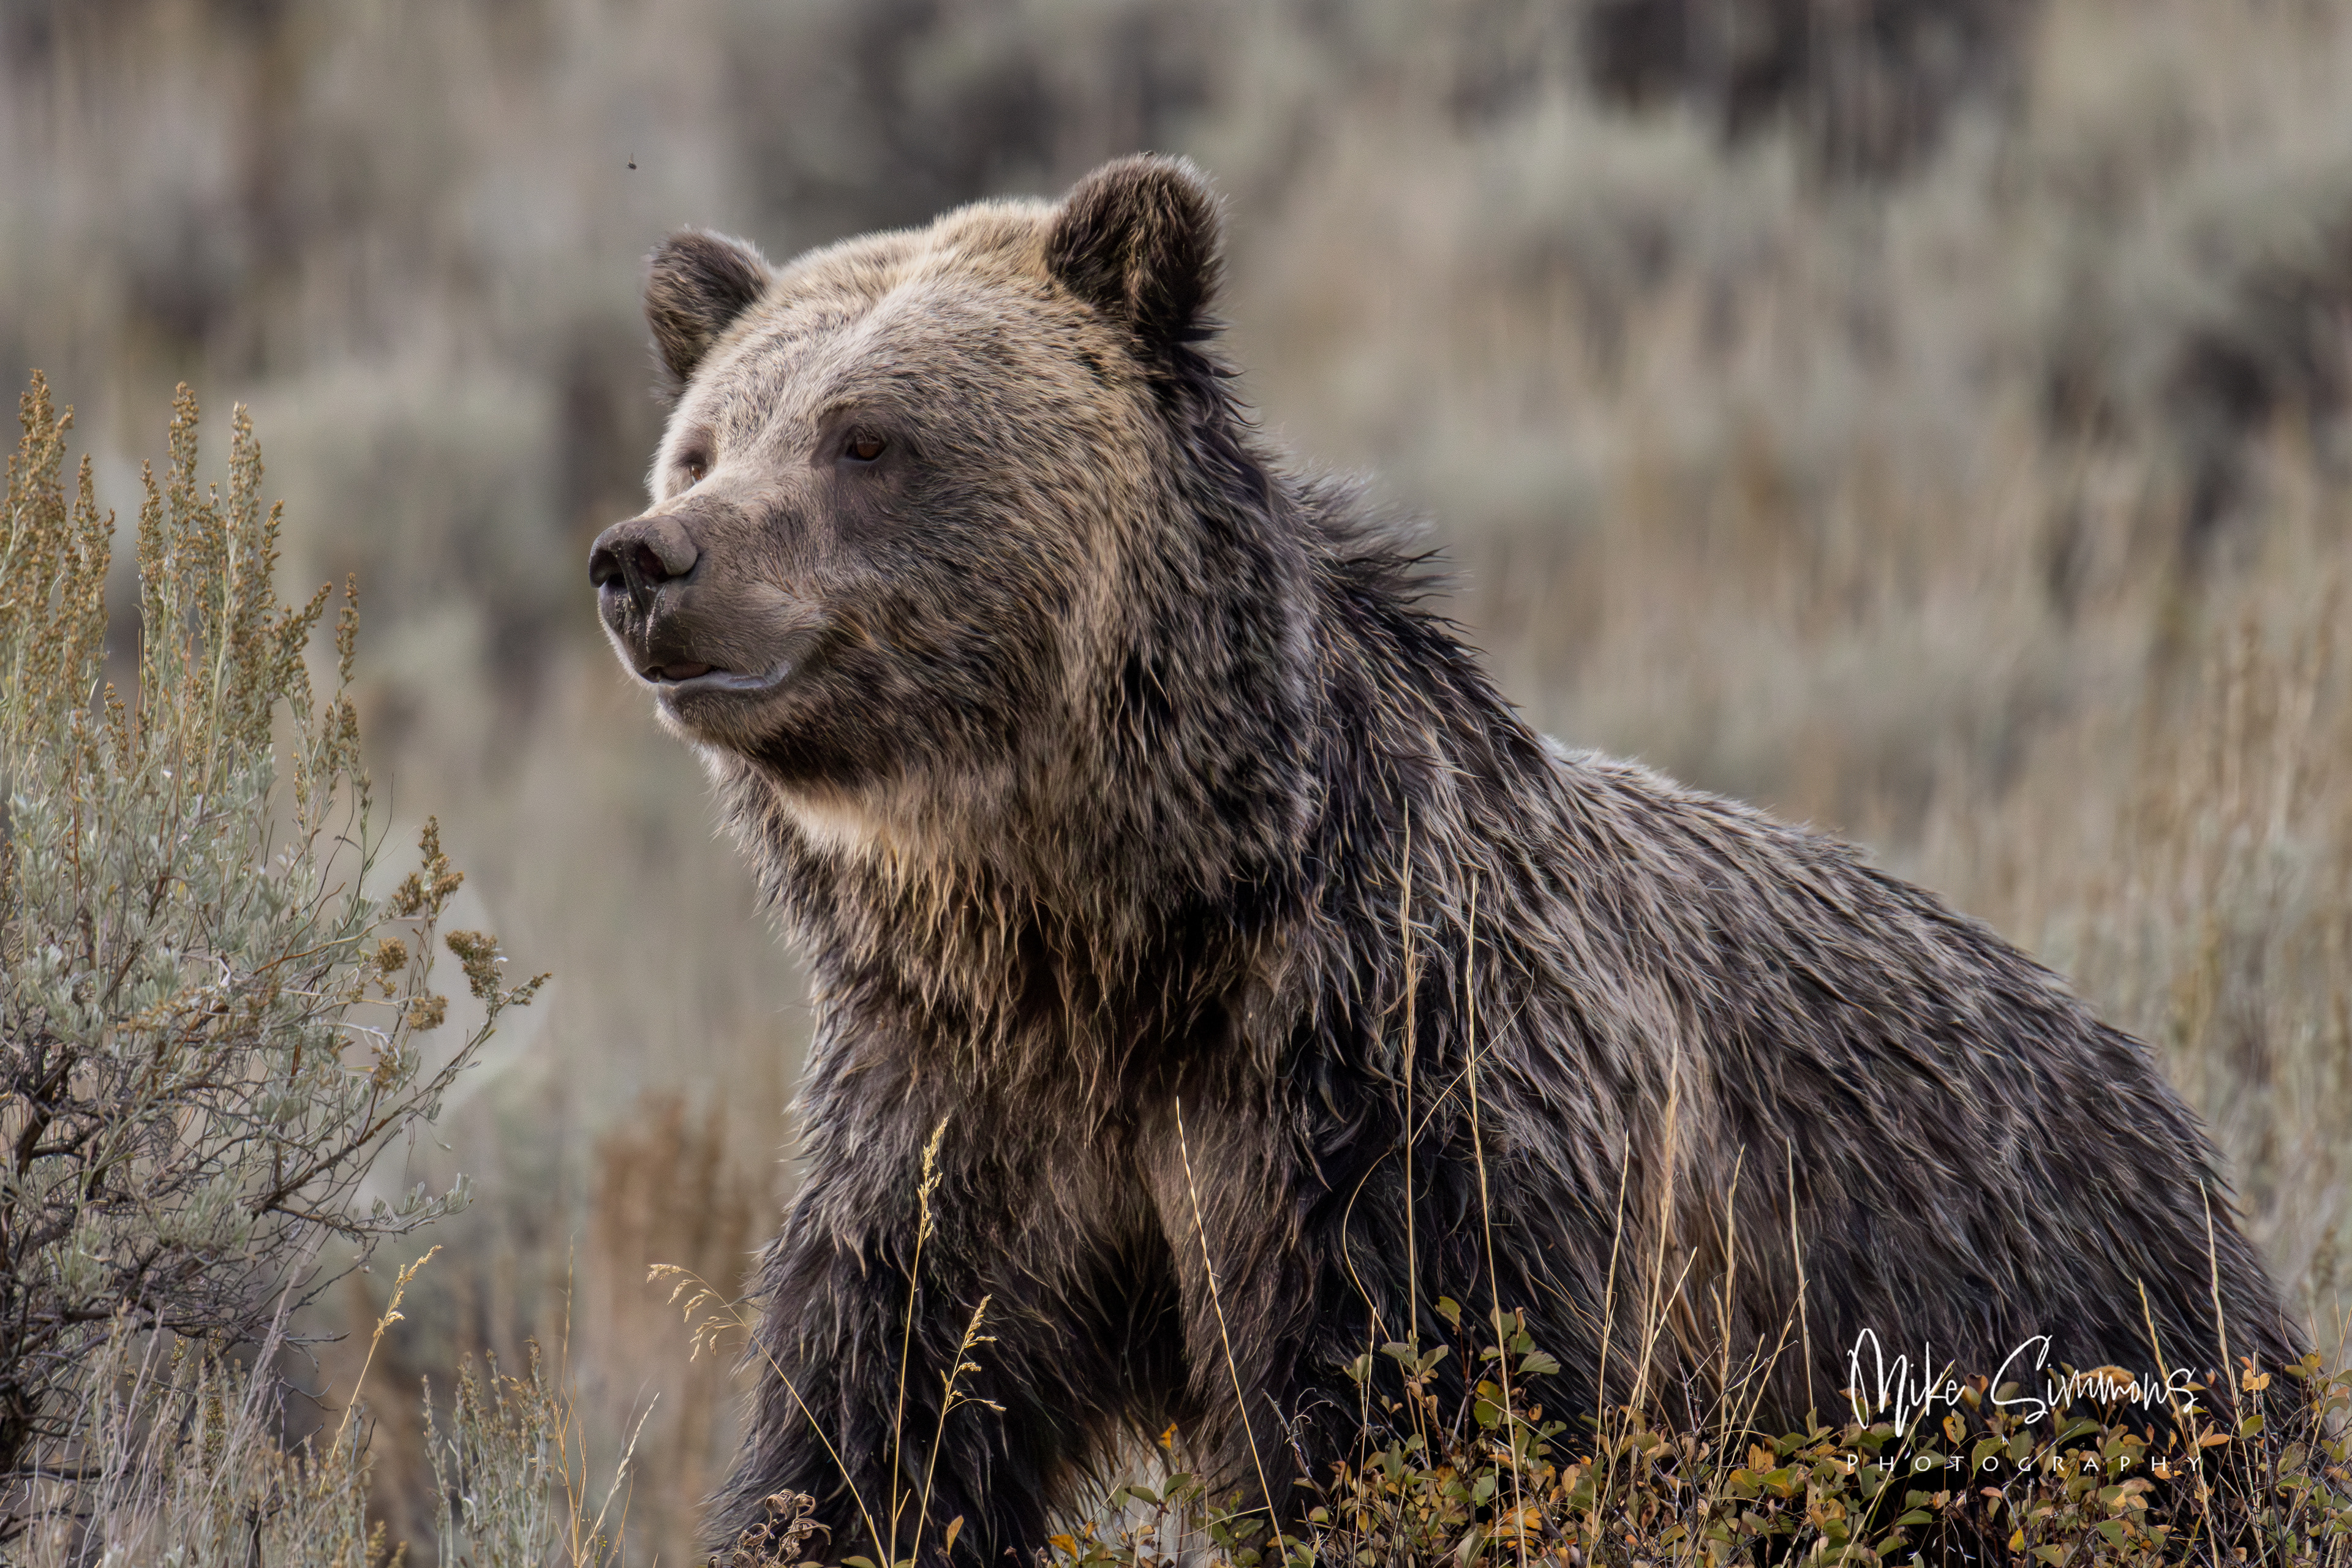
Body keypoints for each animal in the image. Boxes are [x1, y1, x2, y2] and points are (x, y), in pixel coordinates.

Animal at [588, 156, 2306, 1565]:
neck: (1121, 936)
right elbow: (877, 1447)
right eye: (703, 444)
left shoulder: (1402, 1122)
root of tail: (2133, 1065)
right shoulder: (952, 1131)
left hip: (2059, 1337)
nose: (649, 557)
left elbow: (1429, 1431)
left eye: (867, 435)